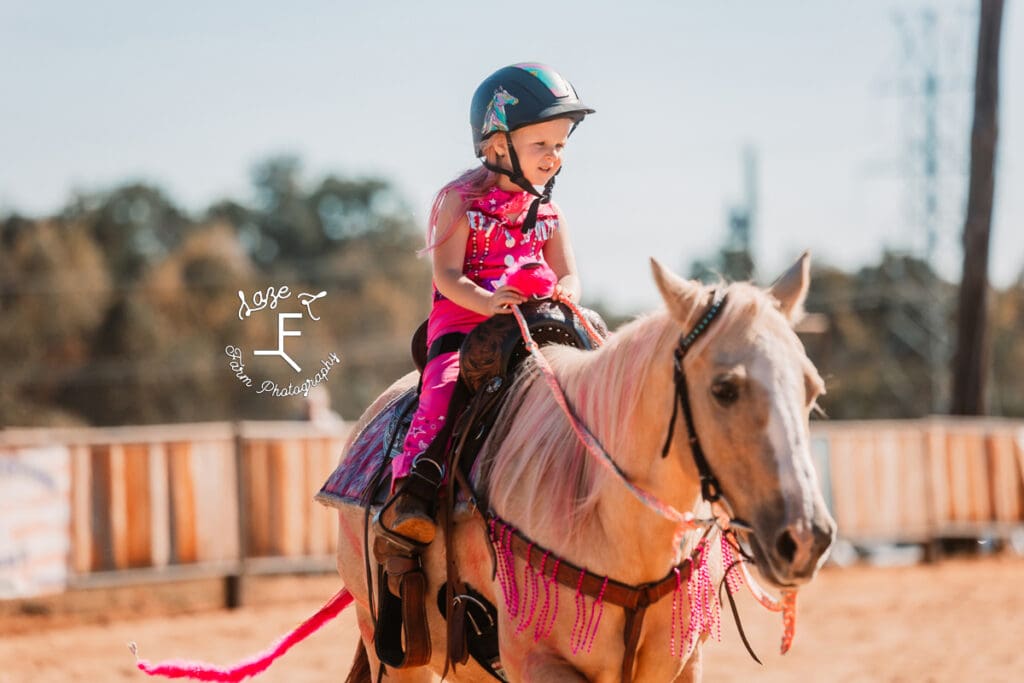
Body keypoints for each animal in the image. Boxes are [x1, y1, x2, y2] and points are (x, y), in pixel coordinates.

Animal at [331, 255, 835, 683]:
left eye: (811, 388)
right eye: (724, 388)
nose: (806, 537)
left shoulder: (681, 663)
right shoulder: (537, 662)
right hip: (393, 652)